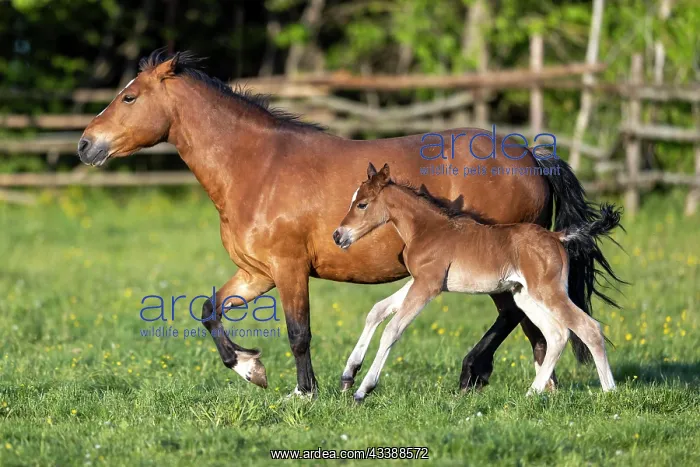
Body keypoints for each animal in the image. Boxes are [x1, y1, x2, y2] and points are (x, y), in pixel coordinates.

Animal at [333, 163, 620, 401]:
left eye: (362, 204)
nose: (338, 235)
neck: (427, 229)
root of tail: (557, 236)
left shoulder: (428, 286)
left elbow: (392, 329)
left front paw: (363, 389)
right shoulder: (419, 281)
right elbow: (377, 310)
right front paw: (349, 374)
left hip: (548, 291)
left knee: (588, 327)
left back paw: (609, 392)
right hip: (525, 296)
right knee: (557, 334)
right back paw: (532, 393)